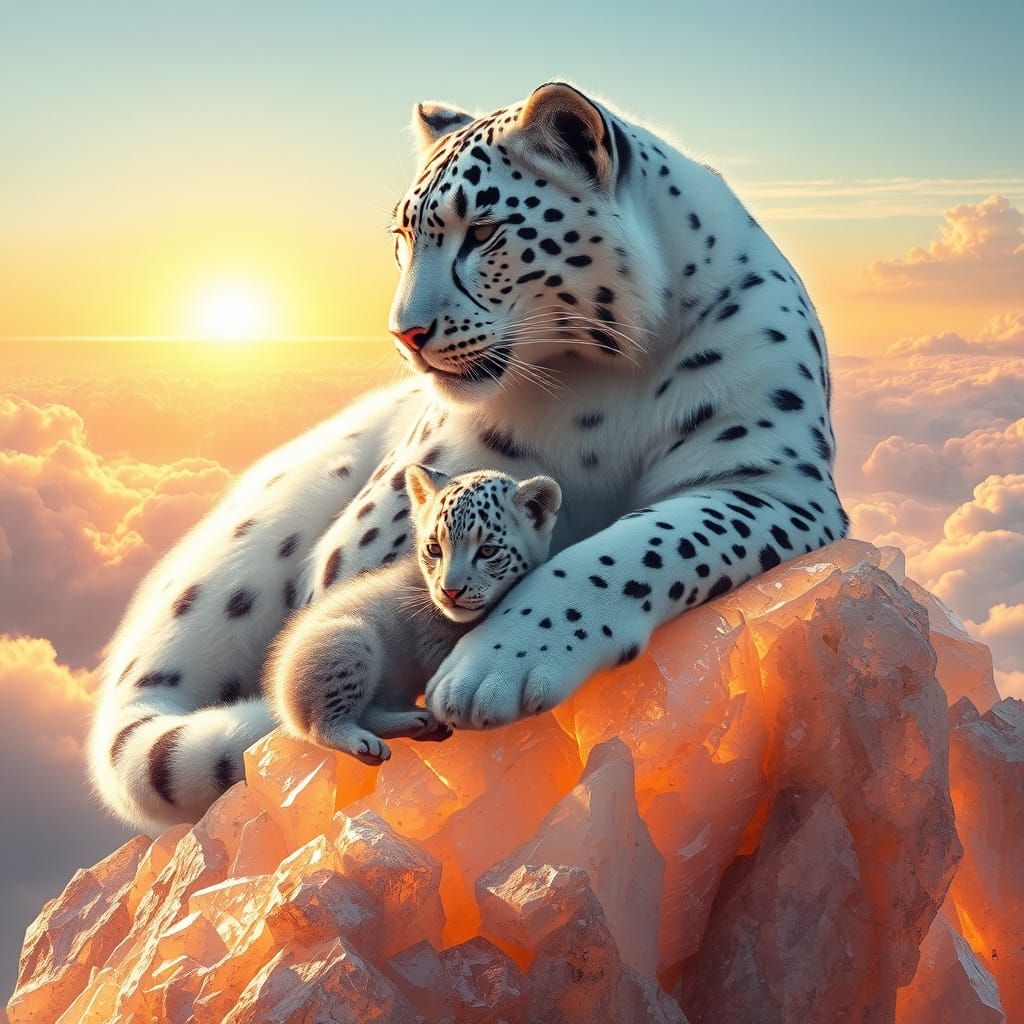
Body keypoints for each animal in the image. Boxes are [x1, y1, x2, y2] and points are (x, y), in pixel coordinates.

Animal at [89, 81, 847, 834]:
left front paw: (500, 667)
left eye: (482, 231)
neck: (603, 380)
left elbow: (646, 545)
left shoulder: (772, 480)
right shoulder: (376, 523)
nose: (405, 334)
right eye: (402, 240)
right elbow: (363, 593)